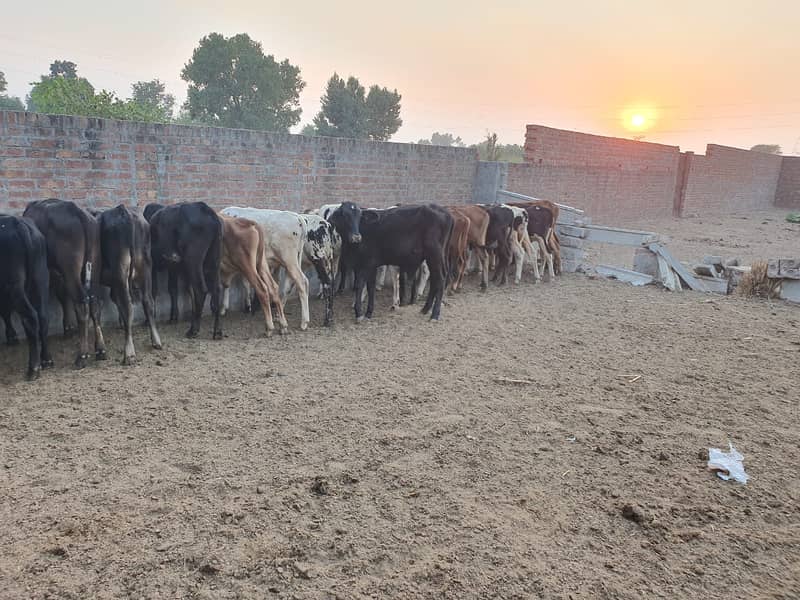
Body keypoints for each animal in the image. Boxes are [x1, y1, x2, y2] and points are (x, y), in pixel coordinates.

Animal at [0, 213, 53, 378]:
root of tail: (17, 222)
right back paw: (46, 359)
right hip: (41, 278)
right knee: (43, 317)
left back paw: (33, 368)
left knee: (31, 317)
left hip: (15, 286)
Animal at [22, 199, 106, 368]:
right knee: (94, 304)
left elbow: (61, 295)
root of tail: (78, 211)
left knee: (82, 304)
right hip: (94, 265)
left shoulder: (53, 271)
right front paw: (68, 328)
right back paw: (100, 349)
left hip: (70, 269)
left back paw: (82, 355)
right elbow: (64, 296)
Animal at [94, 205, 162, 366]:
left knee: (128, 306)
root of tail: (123, 210)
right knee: (148, 302)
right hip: (146, 267)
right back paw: (156, 341)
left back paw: (129, 353)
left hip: (121, 270)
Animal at [148, 202, 223, 340]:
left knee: (200, 290)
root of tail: (205, 209)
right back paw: (217, 332)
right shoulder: (173, 267)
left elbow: (153, 290)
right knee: (216, 290)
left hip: (193, 261)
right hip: (213, 260)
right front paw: (173, 317)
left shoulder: (152, 266)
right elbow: (173, 289)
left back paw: (193, 330)